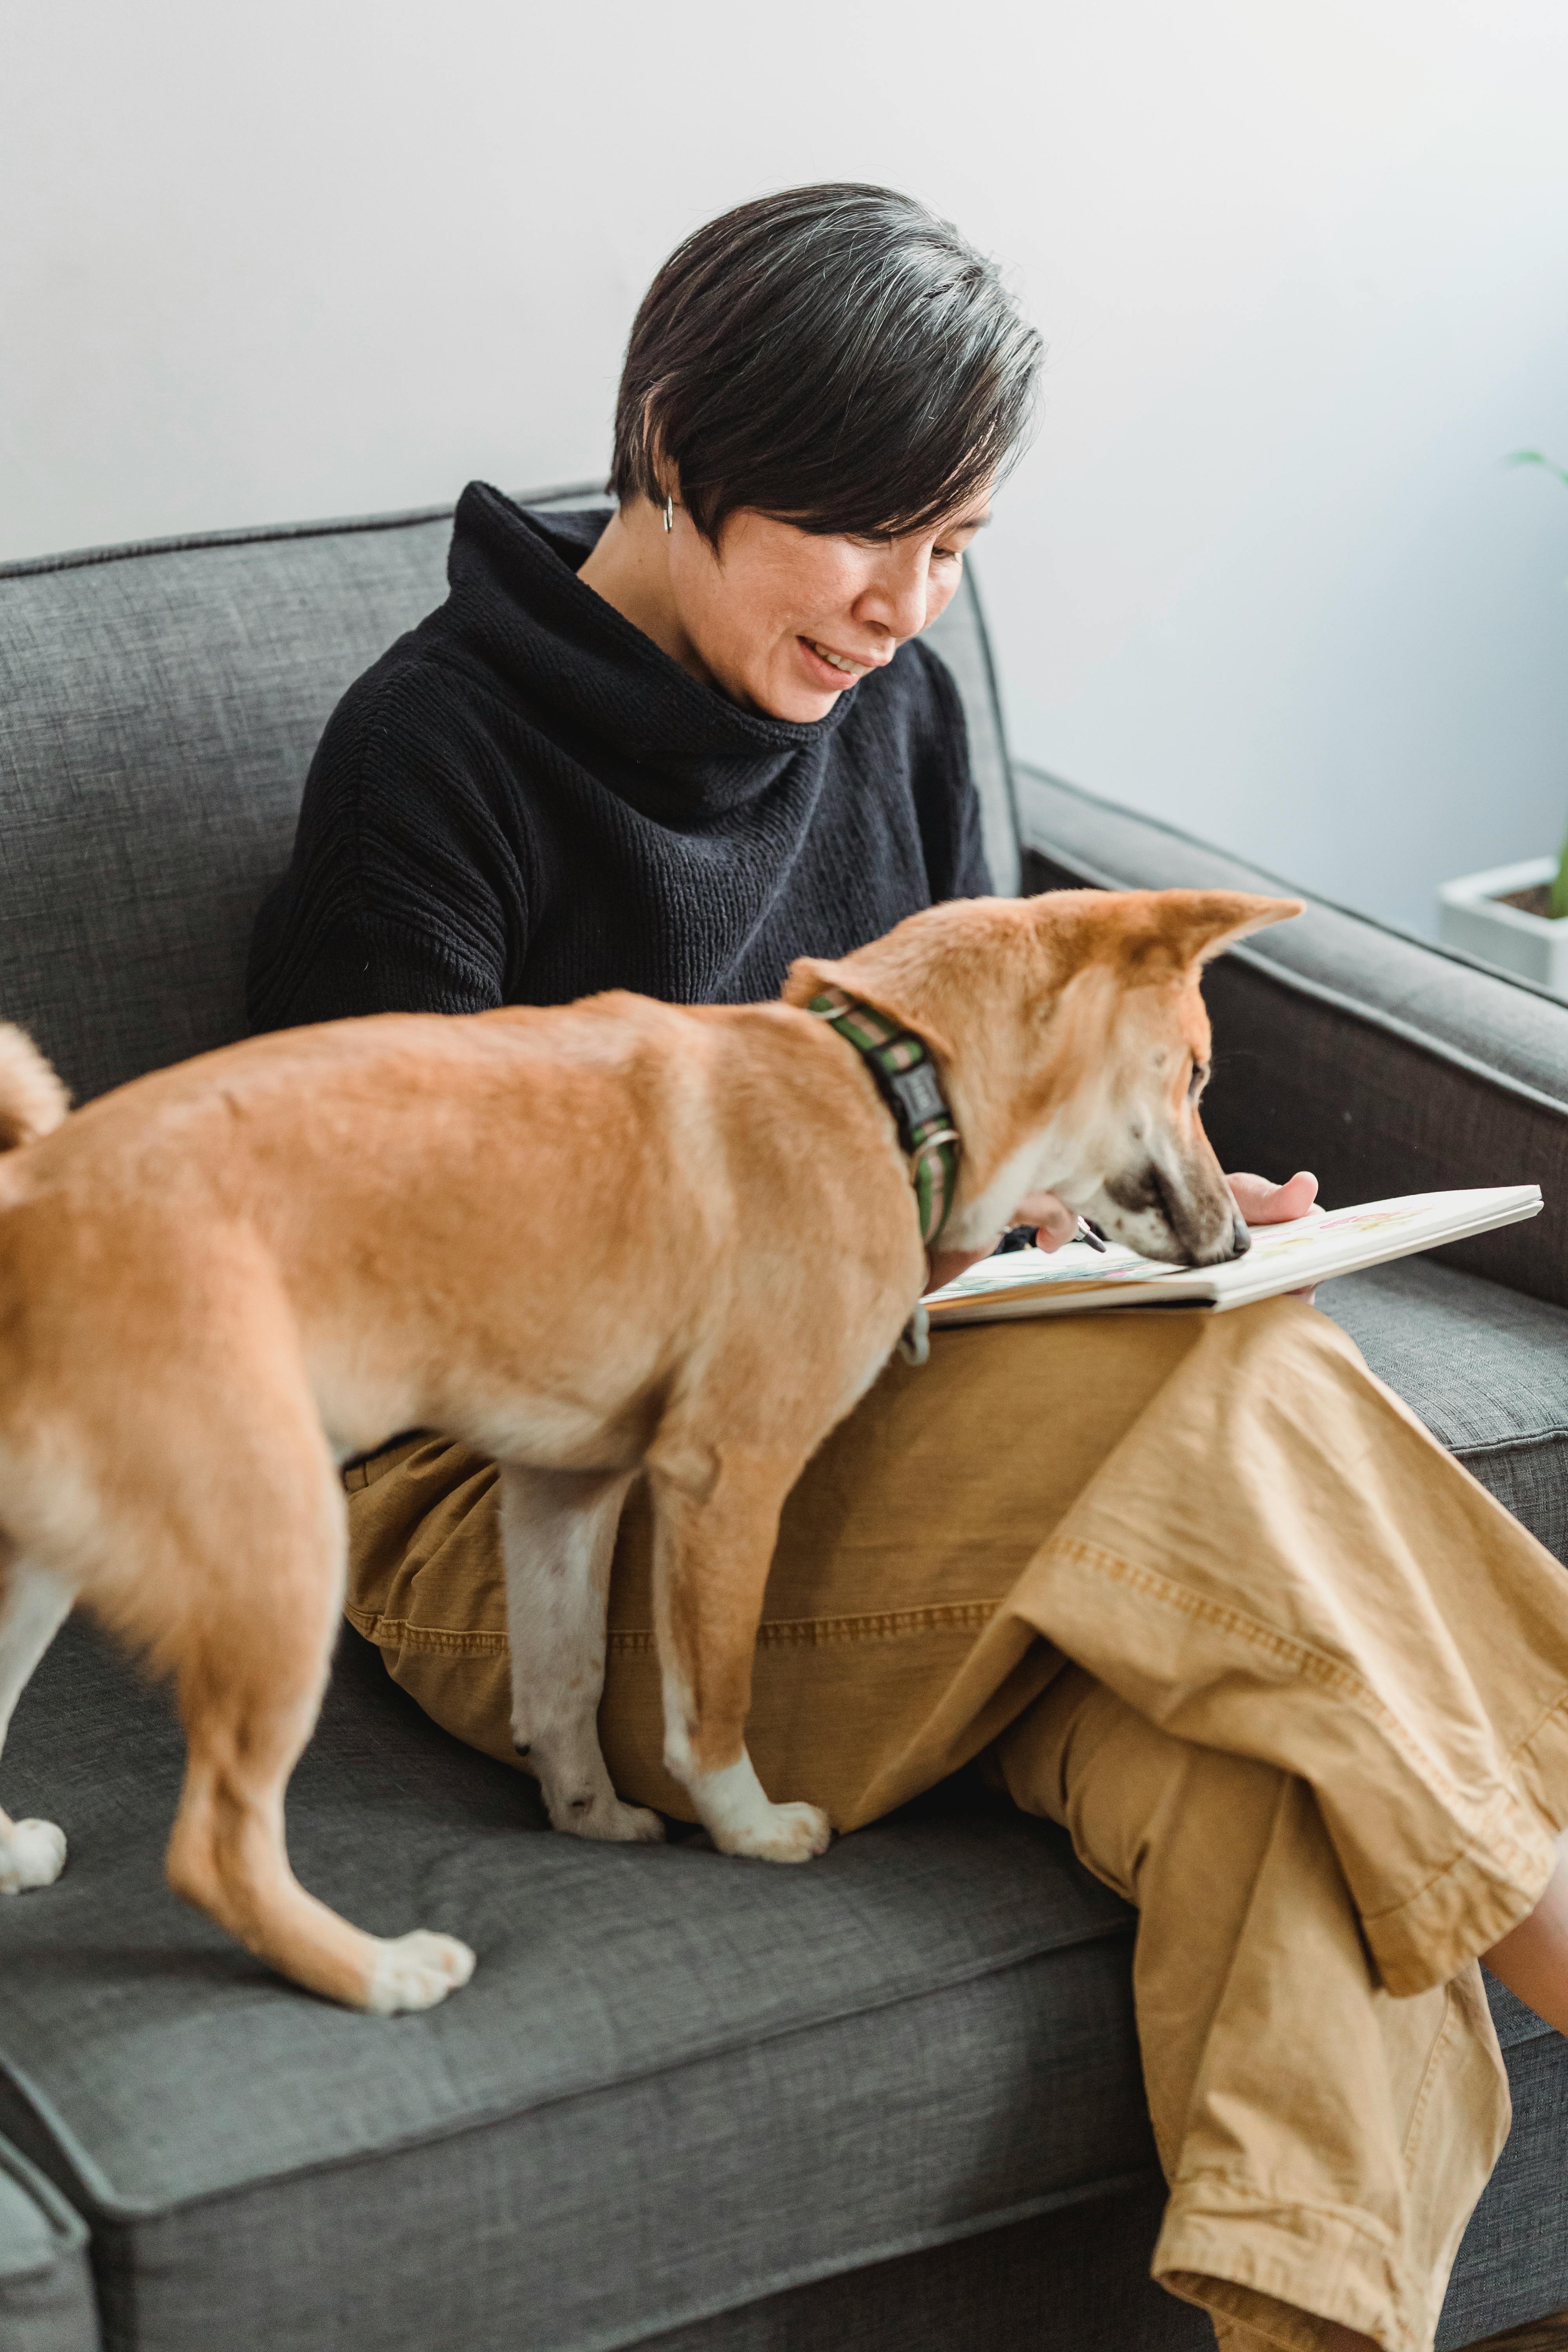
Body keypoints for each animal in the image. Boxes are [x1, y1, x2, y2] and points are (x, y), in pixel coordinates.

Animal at [0, 884, 1298, 2004]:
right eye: (1194, 1072)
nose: (1242, 1244)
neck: (882, 1086)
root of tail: (30, 1200)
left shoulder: (565, 1487)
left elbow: (566, 1676)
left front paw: (589, 1818)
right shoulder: (727, 1478)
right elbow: (713, 1695)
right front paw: (749, 1829)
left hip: (40, 1570)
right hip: (279, 1561)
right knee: (216, 1844)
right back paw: (377, 1972)